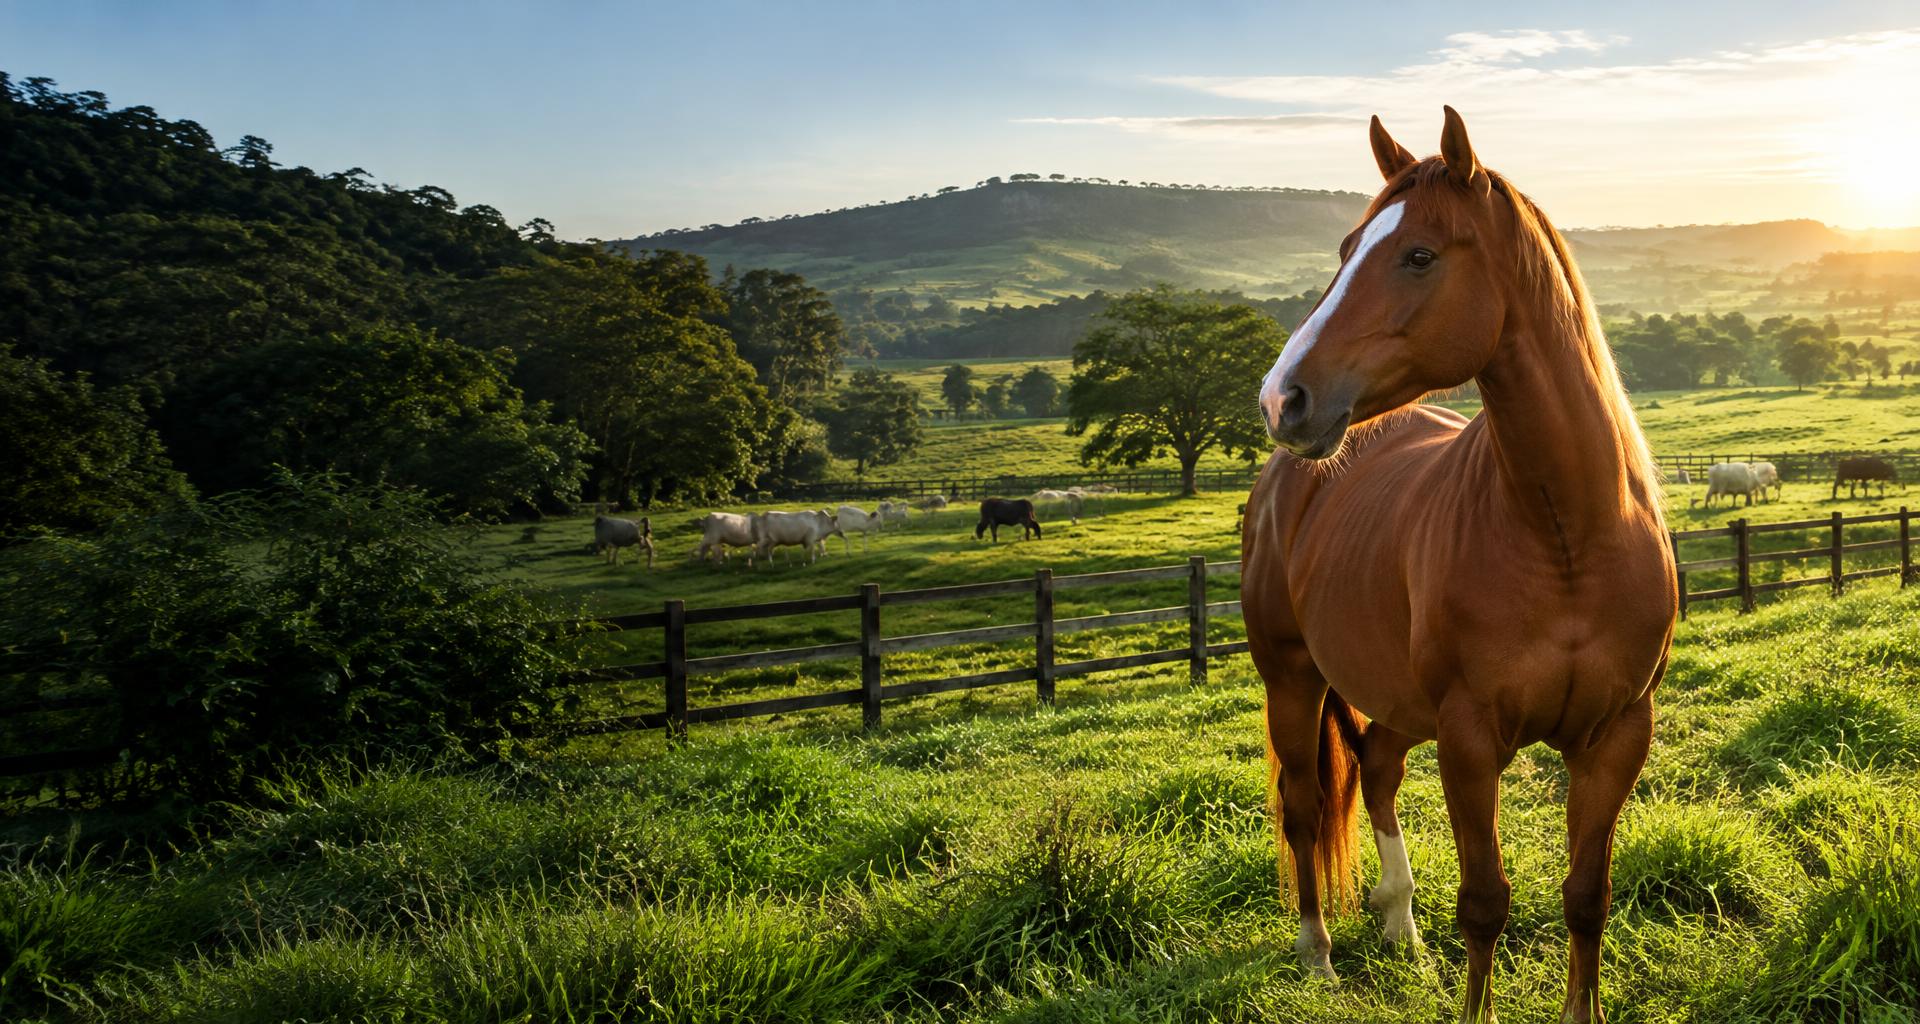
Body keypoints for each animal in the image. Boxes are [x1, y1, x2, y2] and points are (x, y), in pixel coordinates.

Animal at [1243, 108, 1674, 1024]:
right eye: (1346, 247)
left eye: (1417, 255)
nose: (1282, 399)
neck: (1566, 536)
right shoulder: (1472, 741)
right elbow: (1485, 904)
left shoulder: (1619, 735)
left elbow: (1587, 896)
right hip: (1291, 678)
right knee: (1304, 806)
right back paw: (1318, 954)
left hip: (1400, 700)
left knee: (1376, 768)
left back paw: (1401, 930)